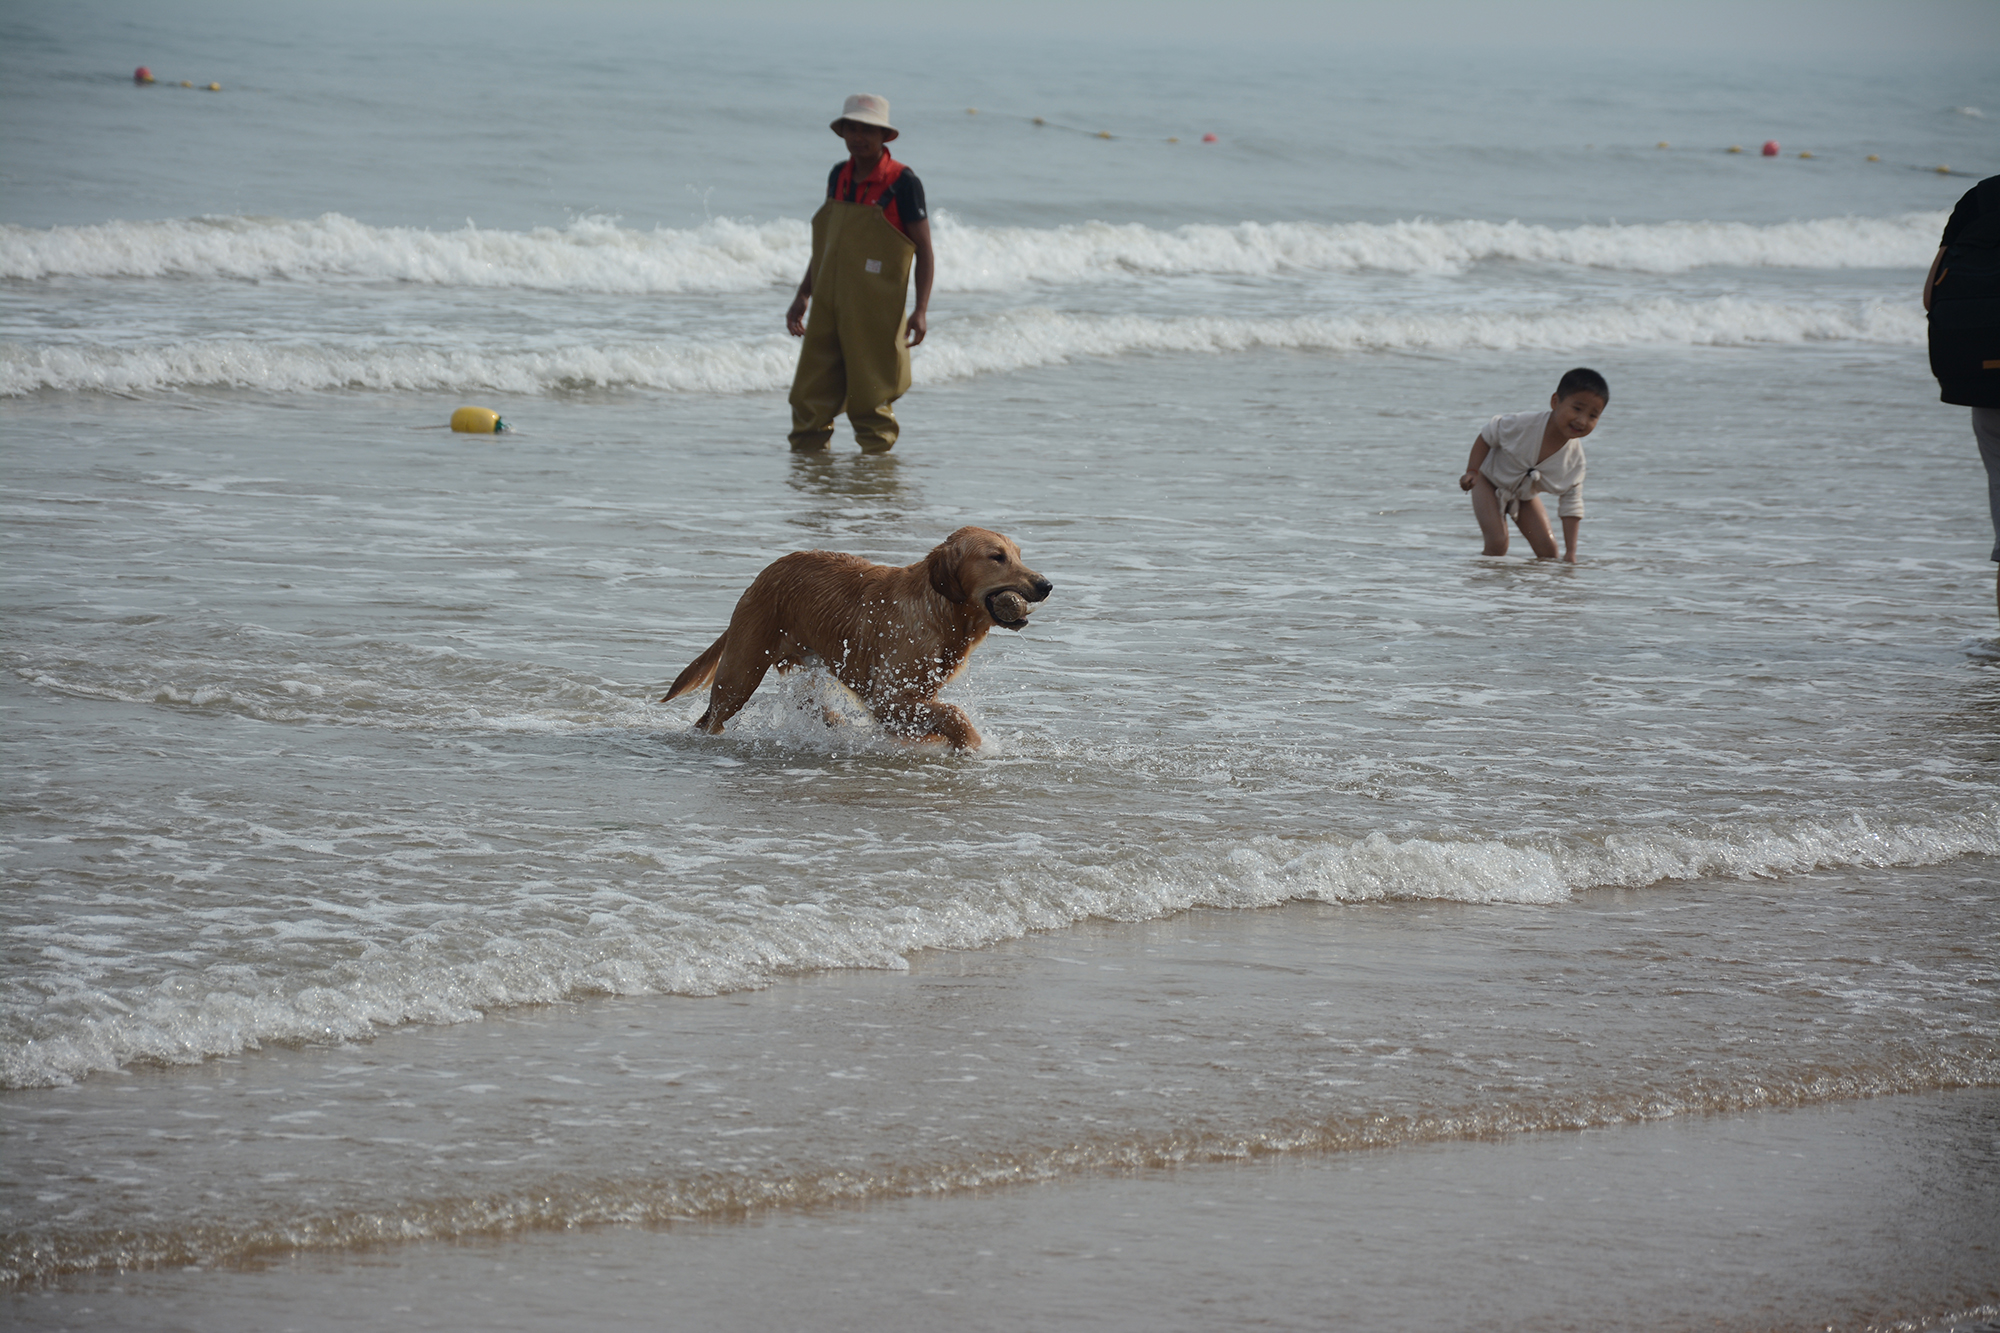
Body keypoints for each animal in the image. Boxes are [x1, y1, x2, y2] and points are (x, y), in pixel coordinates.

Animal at [660, 524, 1064, 748]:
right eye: (997, 557)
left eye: (1018, 554)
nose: (1046, 585)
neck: (939, 609)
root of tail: (763, 574)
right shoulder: (887, 697)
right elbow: (954, 713)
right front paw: (976, 746)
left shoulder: (915, 696)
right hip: (740, 673)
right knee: (711, 718)